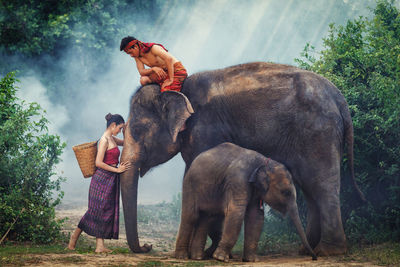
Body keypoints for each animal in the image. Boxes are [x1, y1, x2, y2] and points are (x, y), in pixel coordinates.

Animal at [174, 143, 316, 262]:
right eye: (285, 192)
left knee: (205, 218)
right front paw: (221, 258)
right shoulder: (238, 179)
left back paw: (198, 257)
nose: (314, 258)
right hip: (190, 185)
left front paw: (252, 260)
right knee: (191, 216)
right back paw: (182, 257)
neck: (264, 162)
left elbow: (255, 216)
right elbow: (236, 212)